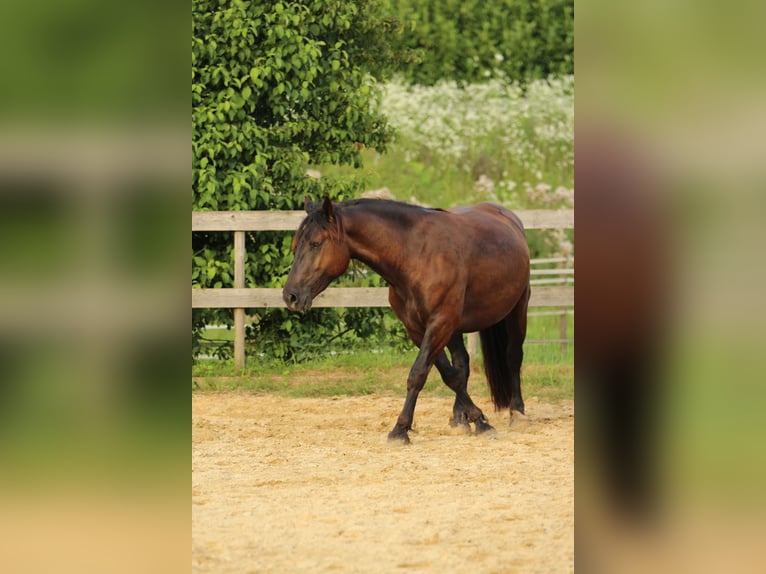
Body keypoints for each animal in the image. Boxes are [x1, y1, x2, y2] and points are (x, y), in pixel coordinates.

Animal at [284, 198, 532, 446]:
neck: (415, 256)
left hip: (517, 309)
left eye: (316, 243)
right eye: (296, 245)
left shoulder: (439, 323)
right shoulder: (418, 328)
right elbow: (450, 376)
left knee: (513, 357)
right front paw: (476, 419)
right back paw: (459, 419)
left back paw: (517, 412)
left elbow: (418, 374)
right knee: (462, 363)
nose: (290, 296)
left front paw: (400, 429)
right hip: (454, 328)